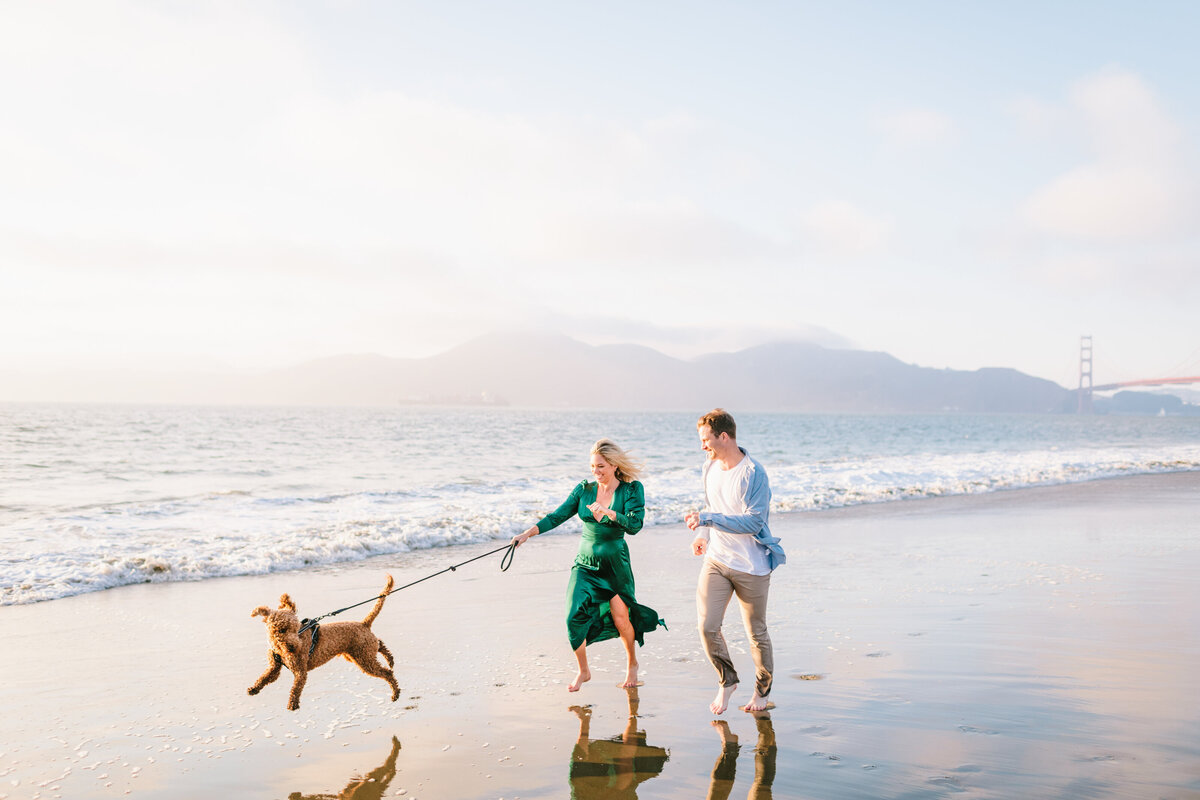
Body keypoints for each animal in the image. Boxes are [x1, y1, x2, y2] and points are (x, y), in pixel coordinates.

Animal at [246, 575, 400, 714]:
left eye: (296, 629)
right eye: (282, 630)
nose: (293, 647)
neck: (281, 649)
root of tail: (363, 624)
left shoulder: (300, 671)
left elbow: (295, 688)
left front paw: (292, 704)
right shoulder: (274, 667)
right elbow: (265, 677)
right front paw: (254, 688)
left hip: (364, 659)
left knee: (387, 672)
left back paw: (395, 692)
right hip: (357, 654)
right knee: (380, 644)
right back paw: (390, 659)